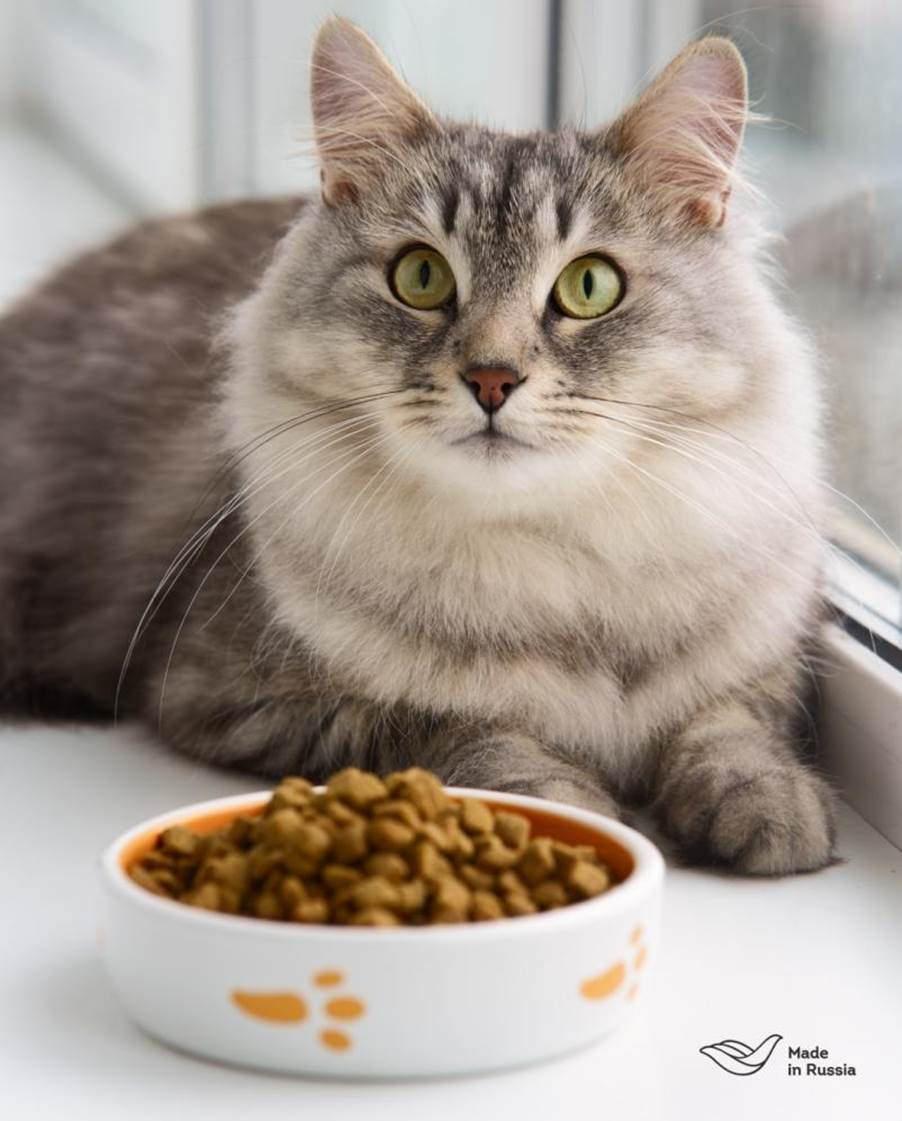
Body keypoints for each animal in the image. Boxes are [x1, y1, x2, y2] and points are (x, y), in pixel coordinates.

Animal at [0, 17, 836, 874]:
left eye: (590, 286)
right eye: (422, 276)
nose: (493, 378)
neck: (548, 571)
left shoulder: (758, 654)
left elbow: (731, 726)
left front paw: (770, 807)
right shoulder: (239, 690)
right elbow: (465, 729)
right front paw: (567, 809)